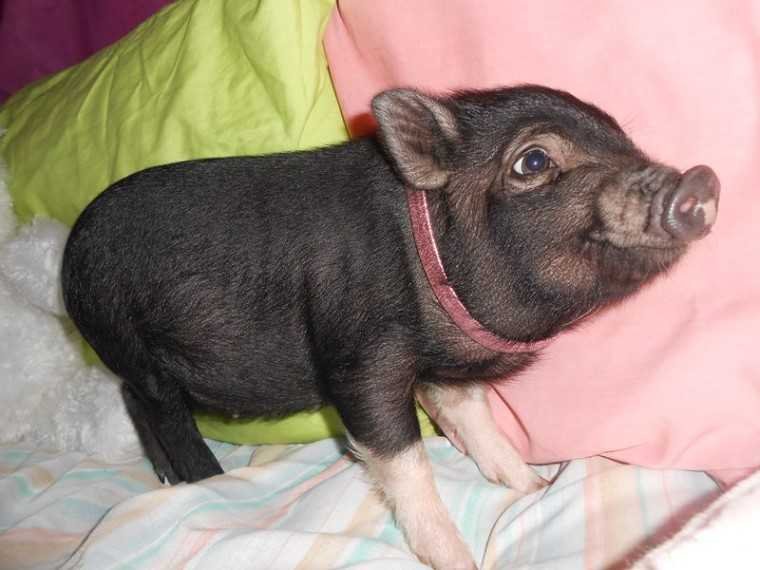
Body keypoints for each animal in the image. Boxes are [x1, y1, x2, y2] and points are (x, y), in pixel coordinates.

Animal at [61, 86, 719, 569]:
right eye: (534, 161)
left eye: (625, 141)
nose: (701, 180)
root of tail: (71, 253)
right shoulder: (359, 362)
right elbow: (403, 459)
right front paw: (460, 561)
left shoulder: (448, 370)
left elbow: (477, 424)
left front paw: (532, 488)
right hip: (130, 341)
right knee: (162, 408)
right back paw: (206, 479)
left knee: (133, 399)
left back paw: (166, 477)